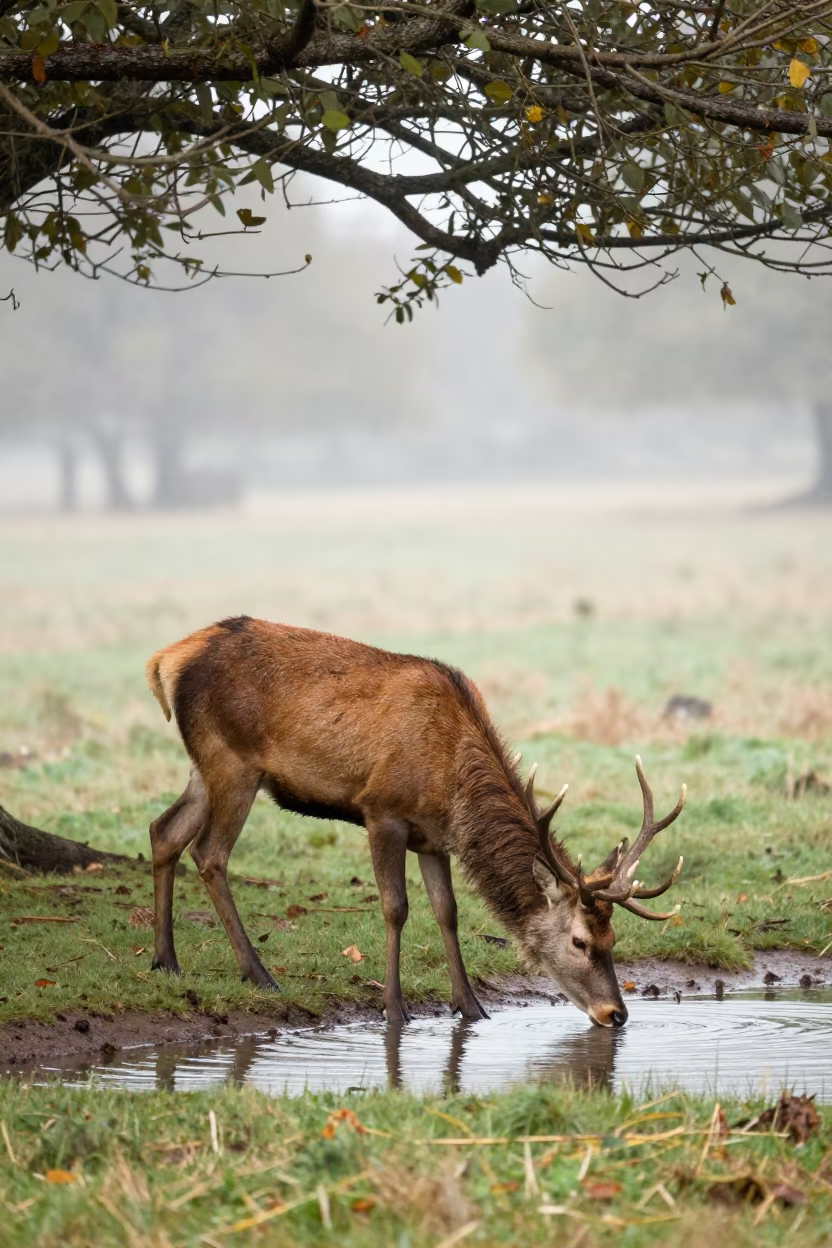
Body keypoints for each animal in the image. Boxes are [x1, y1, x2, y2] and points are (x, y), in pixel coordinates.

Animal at [145, 616, 686, 1027]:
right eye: (580, 941)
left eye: (614, 940)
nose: (617, 1014)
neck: (452, 780)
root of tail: (166, 658)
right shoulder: (382, 810)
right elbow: (396, 908)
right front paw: (394, 1007)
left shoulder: (434, 839)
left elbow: (447, 911)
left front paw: (471, 1007)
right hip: (232, 759)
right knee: (209, 853)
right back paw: (258, 974)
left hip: (205, 765)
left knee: (164, 830)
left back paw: (165, 961)